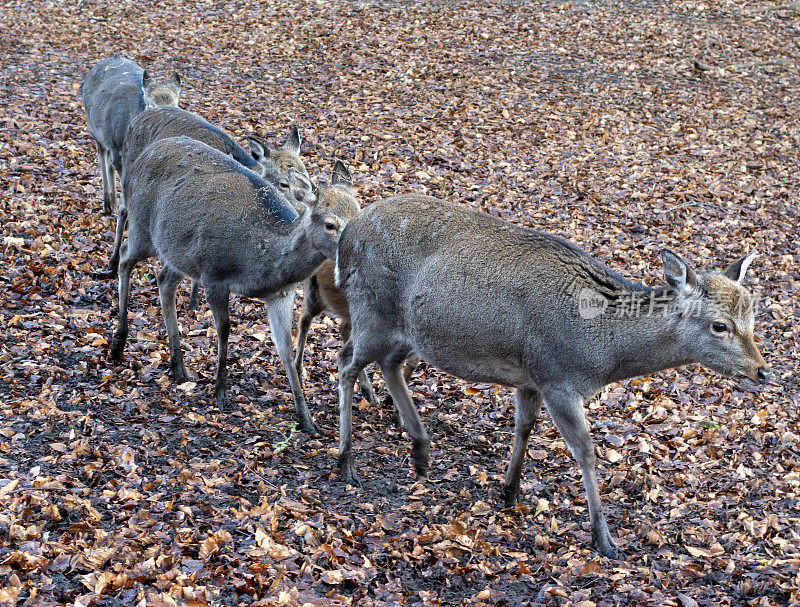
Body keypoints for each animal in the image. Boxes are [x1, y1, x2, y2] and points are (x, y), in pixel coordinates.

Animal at [81, 55, 181, 216]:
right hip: (95, 129)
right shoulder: (116, 147)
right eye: (151, 105)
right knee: (102, 157)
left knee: (108, 163)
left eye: (176, 104)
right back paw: (108, 205)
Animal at [107, 104, 306, 312]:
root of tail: (137, 119)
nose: (302, 211)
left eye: (306, 172)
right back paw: (113, 262)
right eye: (284, 183)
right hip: (128, 169)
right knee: (123, 211)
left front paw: (194, 300)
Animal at [110, 135, 356, 434]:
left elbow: (285, 349)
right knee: (125, 260)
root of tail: (143, 155)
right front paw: (220, 392)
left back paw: (178, 366)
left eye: (359, 211)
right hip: (142, 225)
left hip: (179, 252)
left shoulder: (281, 295)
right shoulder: (213, 274)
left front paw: (306, 418)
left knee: (164, 280)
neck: (258, 263)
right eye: (330, 224)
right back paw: (118, 343)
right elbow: (224, 330)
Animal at [332, 195, 768, 560]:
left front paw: (509, 491)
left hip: (407, 332)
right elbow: (585, 452)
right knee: (346, 362)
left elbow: (524, 428)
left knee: (386, 363)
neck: (601, 353)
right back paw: (346, 461)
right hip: (371, 310)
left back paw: (421, 451)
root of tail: (345, 238)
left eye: (752, 314)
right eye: (719, 326)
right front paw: (604, 539)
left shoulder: (531, 378)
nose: (762, 370)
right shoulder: (559, 379)